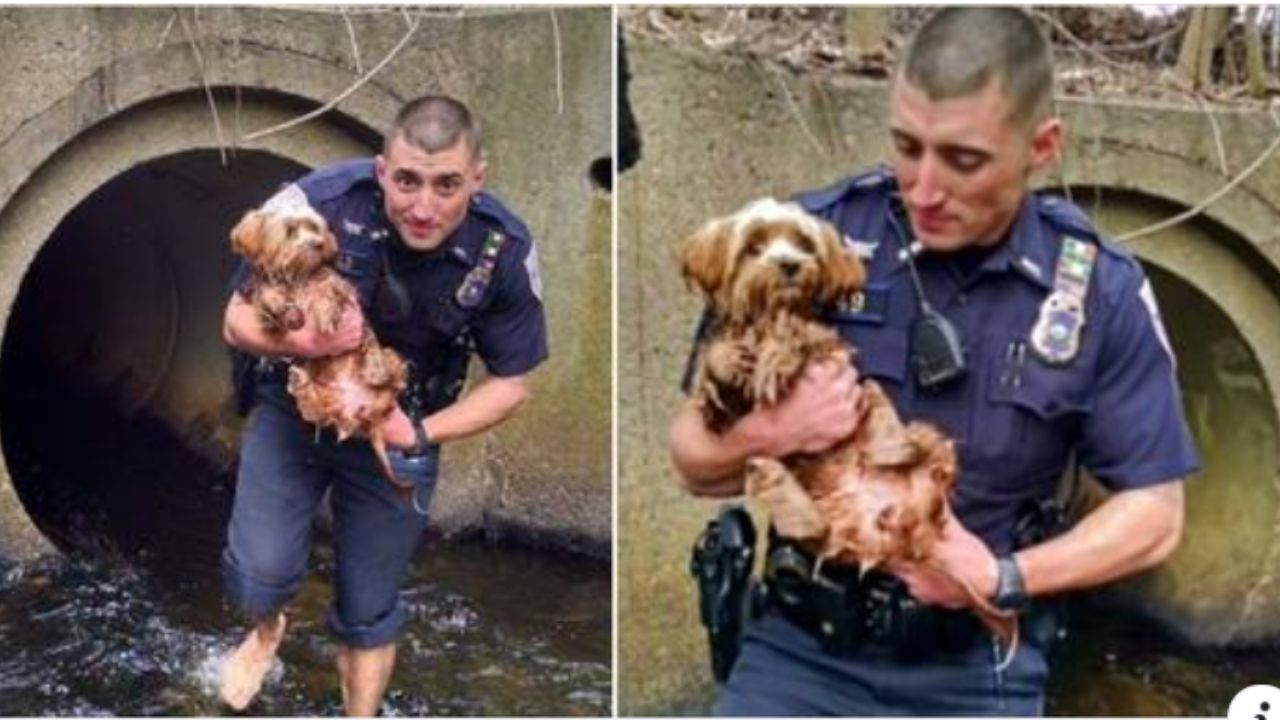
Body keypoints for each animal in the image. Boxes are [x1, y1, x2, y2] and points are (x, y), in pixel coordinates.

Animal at [227, 206, 412, 491]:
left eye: (315, 228)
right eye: (290, 230)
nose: (318, 243)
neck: (298, 274)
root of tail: (368, 417)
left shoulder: (339, 289)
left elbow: (327, 292)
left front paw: (324, 312)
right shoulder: (266, 297)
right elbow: (267, 299)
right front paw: (278, 306)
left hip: (389, 357)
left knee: (391, 373)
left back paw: (375, 371)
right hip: (317, 403)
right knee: (316, 410)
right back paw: (298, 378)